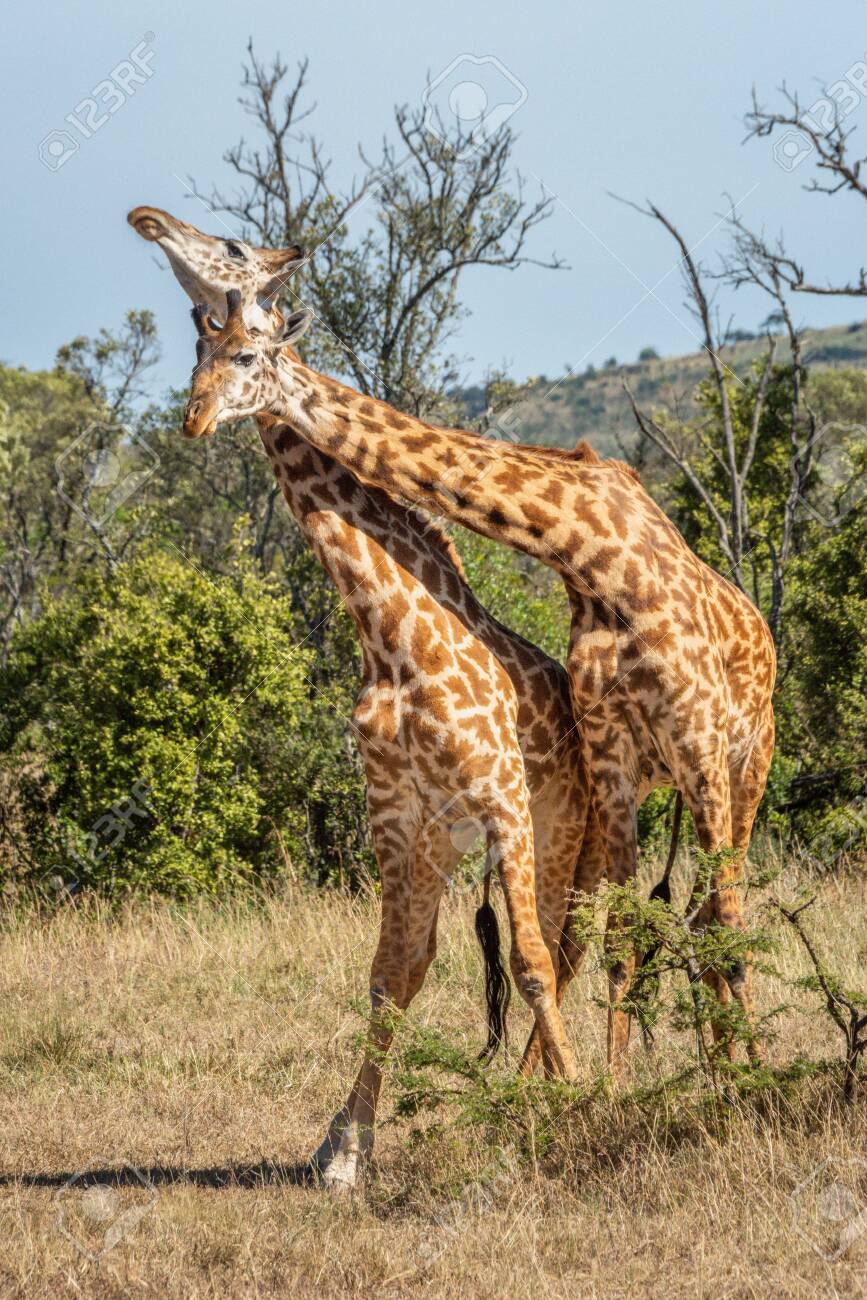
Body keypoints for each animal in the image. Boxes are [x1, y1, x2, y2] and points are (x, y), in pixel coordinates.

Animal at [128, 207, 607, 1188]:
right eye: (196, 352)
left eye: (246, 351)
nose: (193, 419)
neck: (387, 636)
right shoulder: (397, 817)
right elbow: (392, 974)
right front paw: (344, 1148)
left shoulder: (502, 797)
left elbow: (531, 964)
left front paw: (575, 1106)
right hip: (451, 841)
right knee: (464, 954)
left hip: (561, 823)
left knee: (561, 943)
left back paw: (549, 1093)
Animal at [182, 295, 777, 1070]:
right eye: (197, 353)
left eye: (247, 355)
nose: (192, 416)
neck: (593, 559)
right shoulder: (610, 758)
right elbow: (613, 937)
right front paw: (612, 1087)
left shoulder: (695, 741)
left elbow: (712, 927)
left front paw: (739, 1080)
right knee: (640, 924)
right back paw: (692, 1069)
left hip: (741, 764)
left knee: (715, 915)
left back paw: (738, 1069)